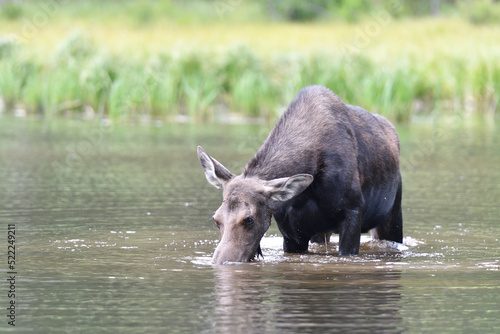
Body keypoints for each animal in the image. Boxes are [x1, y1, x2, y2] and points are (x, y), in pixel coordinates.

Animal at [196, 85, 402, 264]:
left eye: (249, 219)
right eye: (216, 219)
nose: (221, 261)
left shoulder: (353, 212)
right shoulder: (292, 232)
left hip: (392, 215)